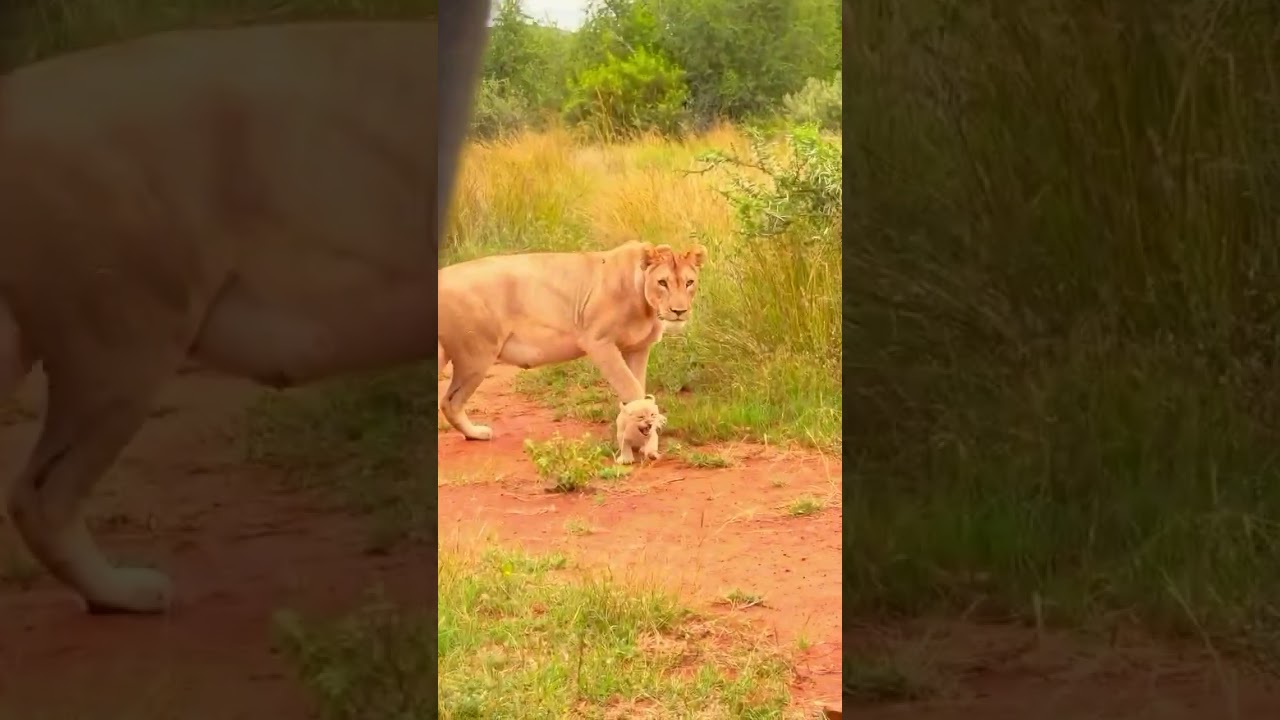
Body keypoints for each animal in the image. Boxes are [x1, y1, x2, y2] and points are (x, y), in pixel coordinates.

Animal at [437, 240, 707, 441]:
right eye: (662, 282)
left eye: (689, 282)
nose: (679, 311)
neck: (645, 302)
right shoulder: (599, 342)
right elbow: (631, 387)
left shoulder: (638, 348)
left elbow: (636, 387)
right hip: (476, 356)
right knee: (450, 401)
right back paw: (476, 433)